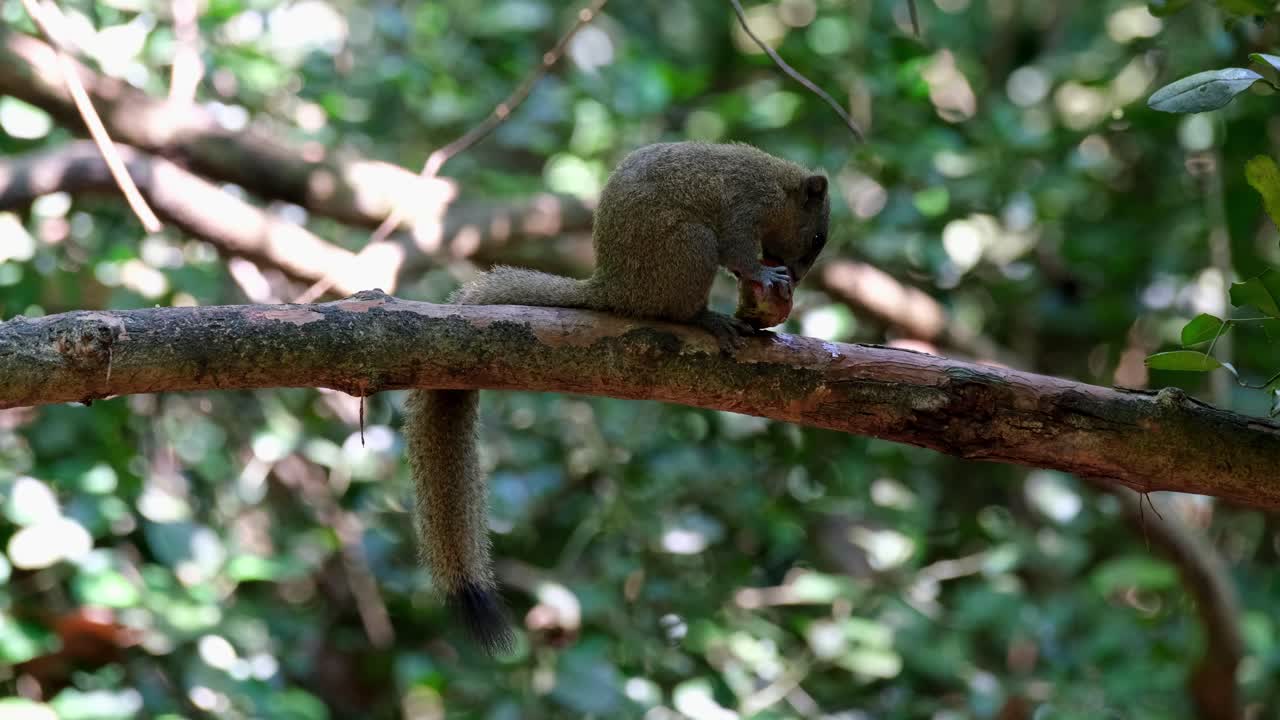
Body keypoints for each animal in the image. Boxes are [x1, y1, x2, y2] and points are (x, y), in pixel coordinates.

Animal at [403, 141, 831, 653]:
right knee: (679, 308)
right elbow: (740, 252)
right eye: (817, 238)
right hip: (689, 246)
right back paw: (707, 318)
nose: (800, 277)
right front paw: (763, 273)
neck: (777, 184)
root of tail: (615, 289)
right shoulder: (742, 210)